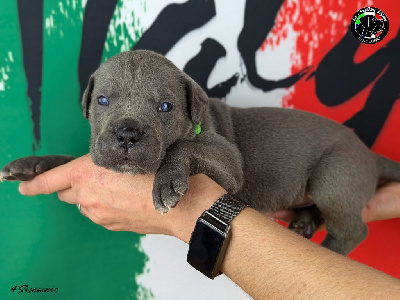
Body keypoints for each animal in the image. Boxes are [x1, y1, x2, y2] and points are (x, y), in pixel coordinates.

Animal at [2, 49, 400, 255]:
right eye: (102, 101)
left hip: (334, 175)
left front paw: (167, 181)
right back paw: (305, 222)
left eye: (165, 107)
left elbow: (184, 143)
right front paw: (33, 163)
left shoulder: (229, 162)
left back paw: (328, 251)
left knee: (352, 230)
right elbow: (71, 159)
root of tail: (368, 154)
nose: (127, 134)